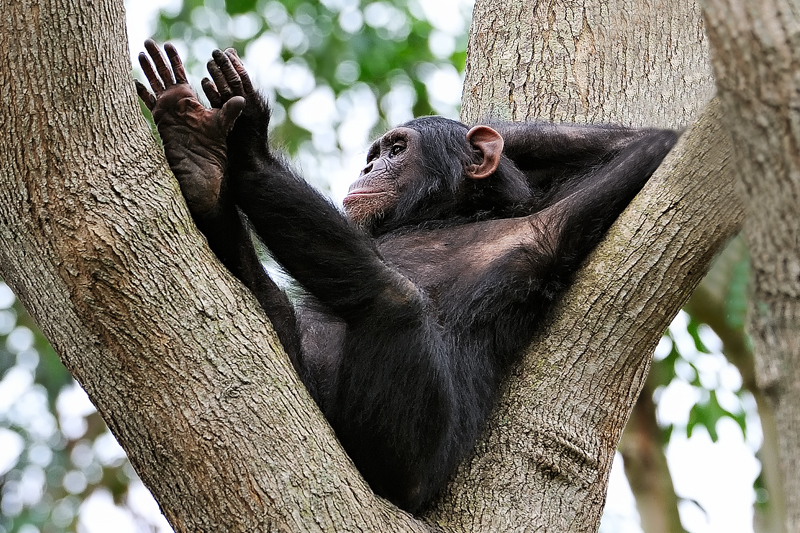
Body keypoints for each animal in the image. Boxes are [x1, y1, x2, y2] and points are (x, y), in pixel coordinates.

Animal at [134, 39, 680, 512]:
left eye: (397, 151)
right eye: (375, 154)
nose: (368, 168)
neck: (444, 216)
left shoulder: (554, 225)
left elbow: (653, 149)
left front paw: (248, 136)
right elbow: (643, 142)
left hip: (407, 465)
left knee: (394, 298)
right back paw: (200, 166)